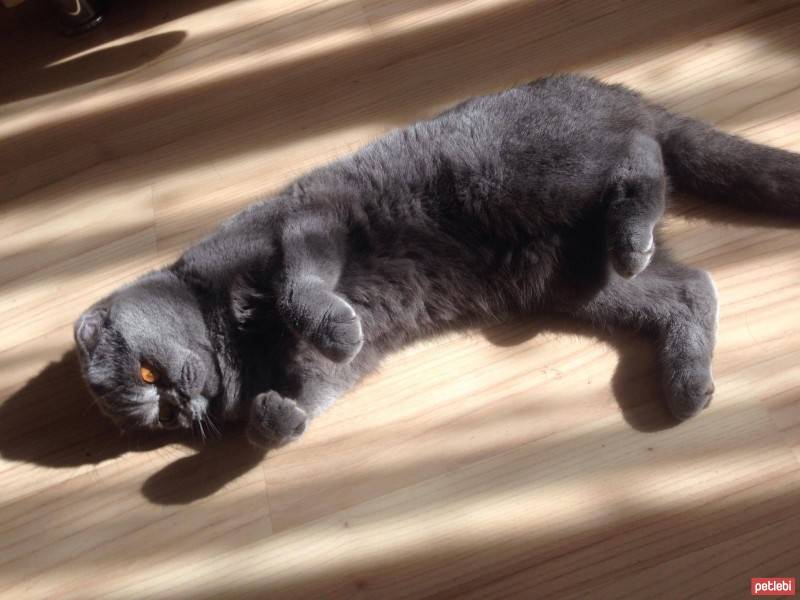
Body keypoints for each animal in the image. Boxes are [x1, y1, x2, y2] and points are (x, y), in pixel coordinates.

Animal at [75, 75, 800, 448]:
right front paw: (273, 419)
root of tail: (604, 84)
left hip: (515, 173)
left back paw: (634, 227)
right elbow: (300, 399)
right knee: (692, 284)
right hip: (570, 278)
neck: (235, 338)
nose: (177, 399)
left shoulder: (304, 221)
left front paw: (334, 329)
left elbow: (296, 287)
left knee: (642, 155)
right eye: (163, 417)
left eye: (147, 373)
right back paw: (686, 381)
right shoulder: (323, 375)